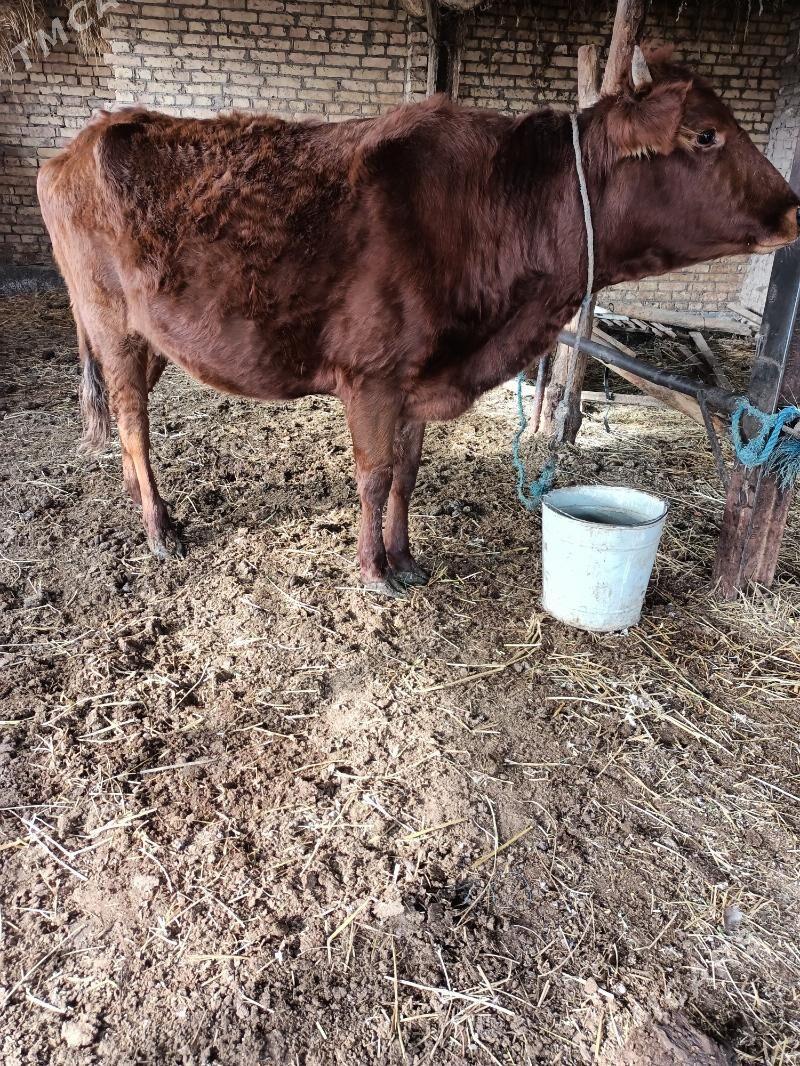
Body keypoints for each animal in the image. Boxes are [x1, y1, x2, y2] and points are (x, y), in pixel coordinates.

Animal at [37, 50, 800, 595]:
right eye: (706, 134)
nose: (794, 207)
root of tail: (77, 142)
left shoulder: (419, 380)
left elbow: (406, 473)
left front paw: (404, 558)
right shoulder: (371, 377)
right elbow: (375, 476)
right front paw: (373, 571)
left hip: (149, 338)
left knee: (124, 416)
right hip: (112, 325)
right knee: (133, 422)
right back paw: (159, 528)